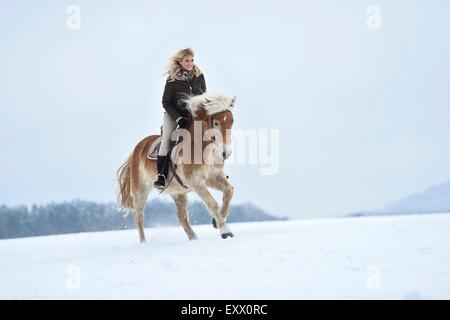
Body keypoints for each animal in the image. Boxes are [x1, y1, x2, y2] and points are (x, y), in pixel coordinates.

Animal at [116, 92, 237, 242]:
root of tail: (137, 148)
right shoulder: (197, 183)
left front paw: (217, 221)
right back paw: (143, 243)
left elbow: (229, 191)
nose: (226, 153)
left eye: (231, 121)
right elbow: (212, 203)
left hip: (178, 192)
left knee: (181, 216)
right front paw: (225, 231)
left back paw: (194, 239)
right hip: (140, 190)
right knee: (139, 216)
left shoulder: (213, 177)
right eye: (216, 122)